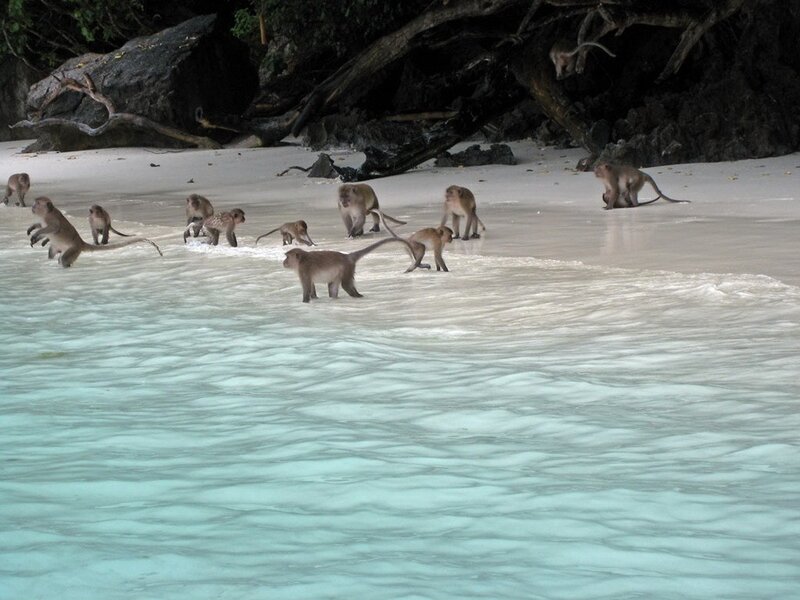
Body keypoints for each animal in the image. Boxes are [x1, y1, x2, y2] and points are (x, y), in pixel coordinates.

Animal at [26, 197, 163, 267]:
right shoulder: (44, 220)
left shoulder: (51, 219)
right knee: (52, 253)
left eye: (37, 203)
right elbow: (42, 228)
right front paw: (34, 232)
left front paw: (36, 235)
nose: (32, 207)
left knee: (64, 259)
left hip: (74, 249)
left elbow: (53, 228)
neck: (46, 214)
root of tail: (80, 243)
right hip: (60, 248)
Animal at [283, 237, 417, 303]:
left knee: (346, 285)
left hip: (346, 268)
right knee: (333, 287)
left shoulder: (304, 269)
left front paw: (305, 301)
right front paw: (314, 298)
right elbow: (311, 286)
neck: (301, 260)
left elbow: (306, 286)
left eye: (287, 257)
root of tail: (347, 256)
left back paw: (357, 296)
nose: (283, 262)